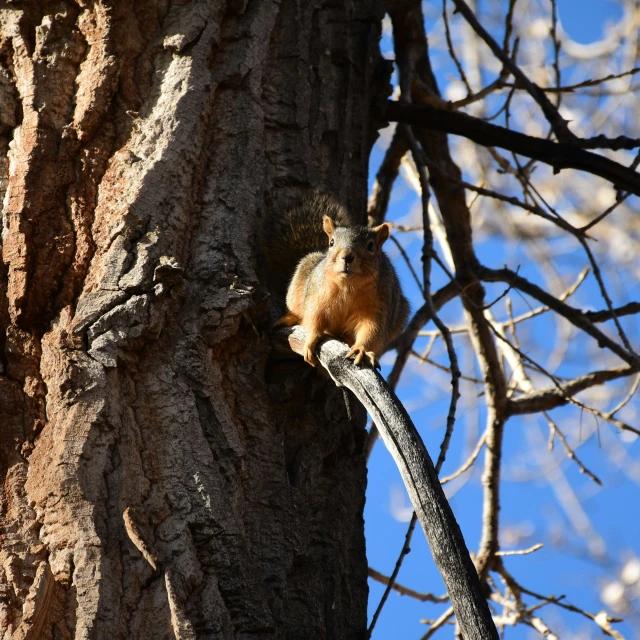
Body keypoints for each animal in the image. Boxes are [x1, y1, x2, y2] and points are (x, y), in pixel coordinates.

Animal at [270, 192, 410, 368]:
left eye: (371, 246)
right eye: (332, 242)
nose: (347, 257)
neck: (348, 285)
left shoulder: (379, 307)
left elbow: (371, 330)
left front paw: (361, 350)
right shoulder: (317, 297)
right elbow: (314, 318)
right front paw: (311, 339)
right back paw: (290, 318)